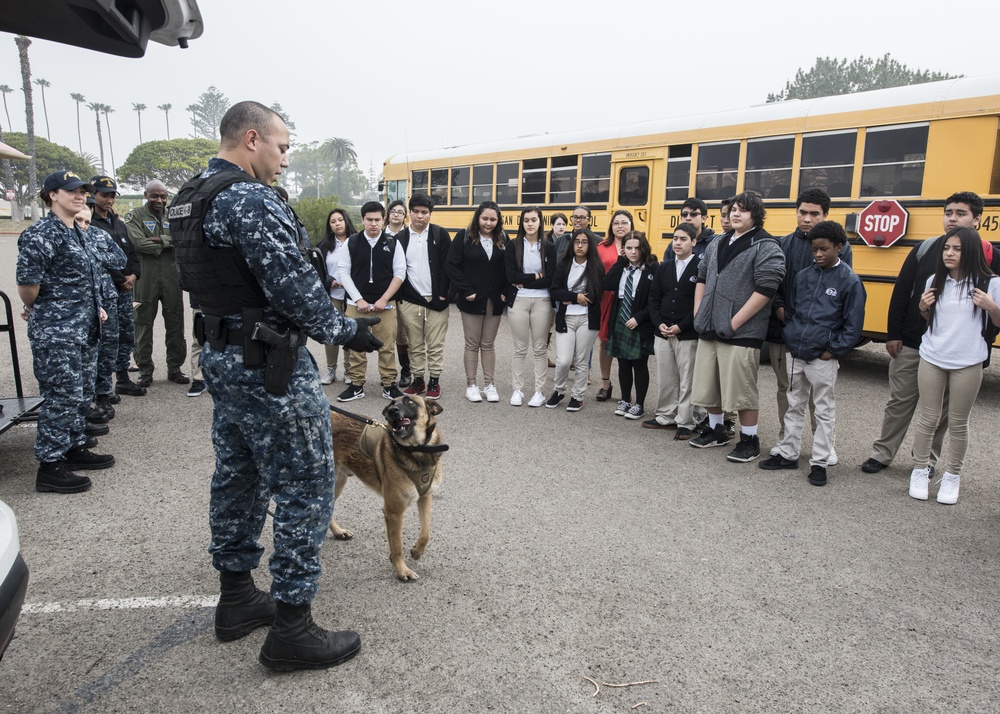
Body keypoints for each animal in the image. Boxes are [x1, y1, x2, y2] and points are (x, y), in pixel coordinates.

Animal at [328, 394, 446, 580]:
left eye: (409, 401)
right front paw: (402, 570)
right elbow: (397, 545)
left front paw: (417, 551)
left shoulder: (425, 497)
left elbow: (426, 532)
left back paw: (338, 532)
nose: (391, 411)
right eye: (391, 402)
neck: (415, 450)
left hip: (338, 483)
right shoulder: (394, 512)